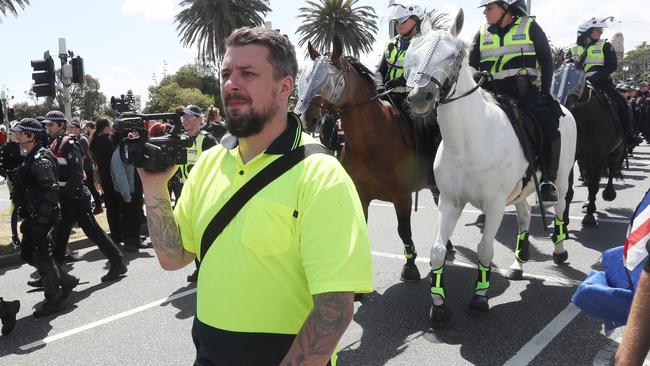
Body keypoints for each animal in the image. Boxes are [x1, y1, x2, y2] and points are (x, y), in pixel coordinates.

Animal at [296, 37, 438, 282]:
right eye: (306, 77)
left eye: (327, 80)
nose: (308, 119)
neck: (371, 145)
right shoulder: (361, 196)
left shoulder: (402, 197)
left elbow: (404, 231)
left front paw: (410, 266)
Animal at [404, 10, 576, 328]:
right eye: (414, 54)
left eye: (454, 56)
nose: (419, 98)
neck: (467, 142)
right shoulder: (449, 202)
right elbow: (437, 252)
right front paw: (439, 306)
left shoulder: (494, 205)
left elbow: (485, 250)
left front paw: (479, 298)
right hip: (520, 191)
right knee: (524, 217)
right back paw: (518, 265)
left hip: (560, 178)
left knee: (559, 210)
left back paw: (560, 251)